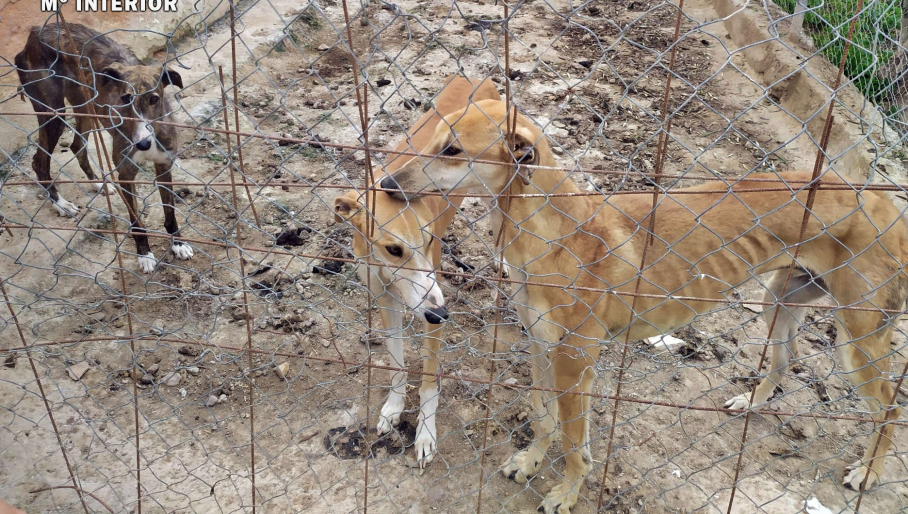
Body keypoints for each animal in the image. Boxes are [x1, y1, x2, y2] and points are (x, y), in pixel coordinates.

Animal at [16, 23, 193, 272]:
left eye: (154, 99)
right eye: (125, 98)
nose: (142, 144)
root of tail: (35, 32)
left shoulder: (164, 165)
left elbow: (170, 212)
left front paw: (178, 243)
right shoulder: (126, 173)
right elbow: (136, 222)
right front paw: (145, 254)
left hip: (85, 109)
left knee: (77, 146)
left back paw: (98, 183)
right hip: (54, 114)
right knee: (39, 162)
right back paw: (61, 204)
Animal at [334, 75, 500, 464]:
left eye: (428, 241)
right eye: (393, 249)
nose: (441, 314)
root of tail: (478, 76)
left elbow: (428, 381)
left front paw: (425, 434)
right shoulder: (384, 299)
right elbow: (396, 362)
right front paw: (393, 409)